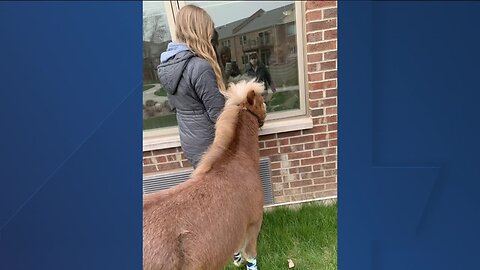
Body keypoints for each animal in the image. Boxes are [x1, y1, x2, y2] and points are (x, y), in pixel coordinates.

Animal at [142, 80, 268, 270]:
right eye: (261, 102)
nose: (267, 109)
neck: (236, 161)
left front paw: (236, 259)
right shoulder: (253, 224)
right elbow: (250, 256)